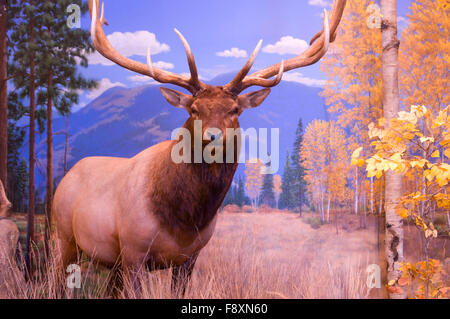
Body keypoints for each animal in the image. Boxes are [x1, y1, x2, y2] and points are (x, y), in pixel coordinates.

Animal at [53, 0, 348, 298]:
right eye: (194, 109)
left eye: (234, 109)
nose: (213, 137)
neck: (183, 221)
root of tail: (66, 176)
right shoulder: (133, 251)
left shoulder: (190, 257)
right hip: (65, 237)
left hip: (109, 261)